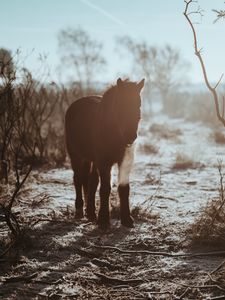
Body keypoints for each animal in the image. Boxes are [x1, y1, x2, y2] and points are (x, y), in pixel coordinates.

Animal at [64, 78, 146, 229]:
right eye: (120, 104)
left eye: (138, 104)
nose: (130, 136)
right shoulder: (104, 162)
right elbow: (105, 188)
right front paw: (103, 220)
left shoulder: (124, 161)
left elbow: (123, 188)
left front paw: (127, 219)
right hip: (76, 156)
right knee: (77, 179)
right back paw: (79, 210)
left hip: (92, 160)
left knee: (91, 180)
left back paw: (91, 213)